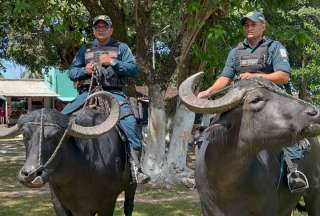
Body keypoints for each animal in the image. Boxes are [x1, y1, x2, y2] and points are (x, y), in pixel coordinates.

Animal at [0, 91, 136, 216]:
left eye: (57, 135)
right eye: (24, 134)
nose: (30, 174)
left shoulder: (107, 203)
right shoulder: (59, 203)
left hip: (131, 187)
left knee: (128, 206)